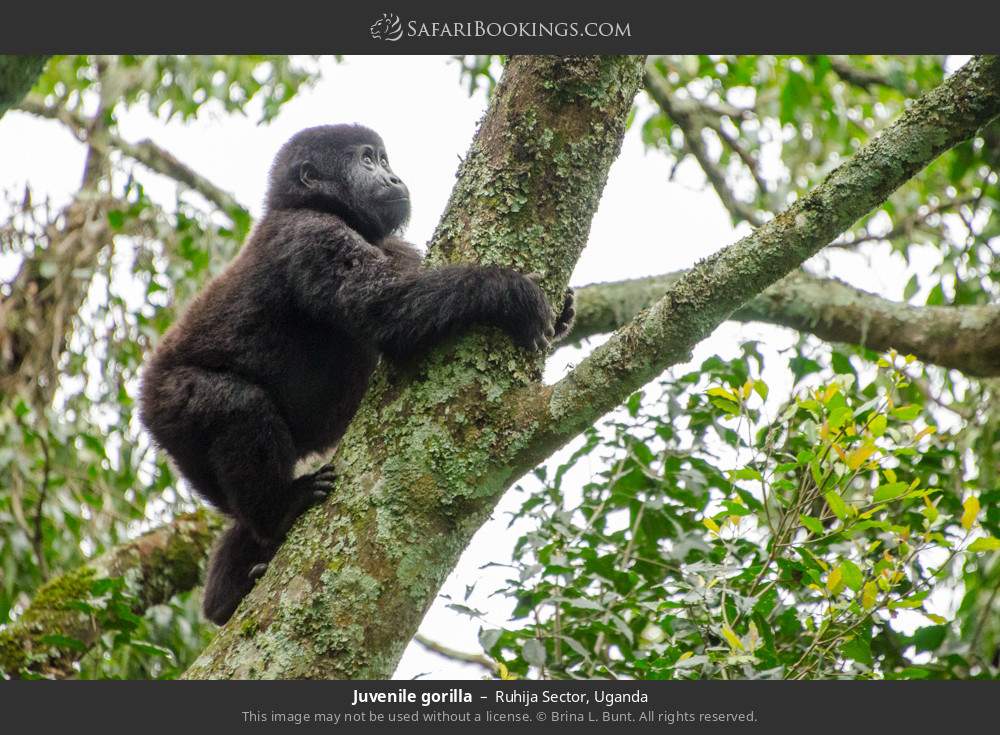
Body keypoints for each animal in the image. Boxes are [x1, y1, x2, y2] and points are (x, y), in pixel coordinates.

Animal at [143, 123, 580, 624]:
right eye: (367, 160)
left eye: (384, 160)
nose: (393, 177)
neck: (318, 206)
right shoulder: (311, 235)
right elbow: (385, 309)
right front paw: (505, 290)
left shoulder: (391, 244)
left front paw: (563, 311)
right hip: (170, 408)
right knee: (237, 406)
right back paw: (280, 510)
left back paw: (228, 594)